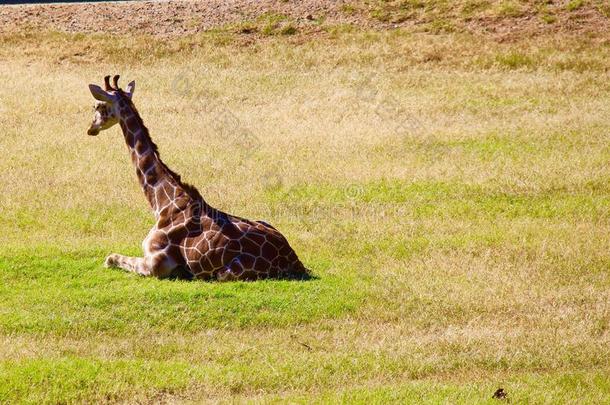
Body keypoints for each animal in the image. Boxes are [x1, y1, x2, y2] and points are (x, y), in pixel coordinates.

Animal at [85, 74, 308, 280]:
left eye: (98, 105)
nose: (91, 128)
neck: (162, 203)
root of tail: (294, 262)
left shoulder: (156, 264)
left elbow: (110, 258)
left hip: (225, 274)